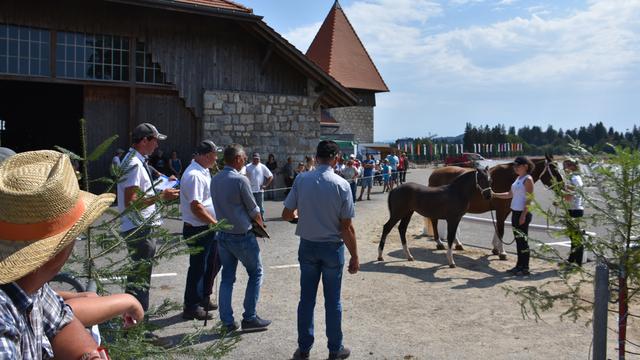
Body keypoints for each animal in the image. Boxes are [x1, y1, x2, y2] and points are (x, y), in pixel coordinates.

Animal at [428, 155, 564, 258]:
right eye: (553, 168)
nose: (562, 186)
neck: (509, 177)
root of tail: (434, 173)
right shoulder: (501, 210)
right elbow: (501, 230)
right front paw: (502, 252)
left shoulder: (506, 210)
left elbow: (499, 228)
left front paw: (495, 248)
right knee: (434, 221)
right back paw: (439, 243)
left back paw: (458, 244)